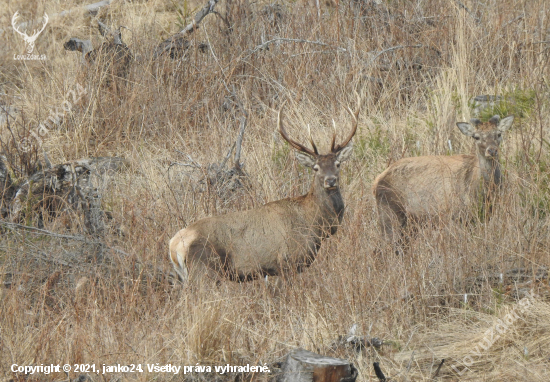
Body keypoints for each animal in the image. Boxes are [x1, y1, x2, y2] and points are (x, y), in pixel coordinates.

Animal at [168, 103, 362, 282]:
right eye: (315, 168)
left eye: (337, 164)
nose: (330, 180)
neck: (315, 226)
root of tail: (174, 245)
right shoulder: (287, 262)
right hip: (204, 271)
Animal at [374, 115, 516, 252]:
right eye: (476, 136)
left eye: (498, 134)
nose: (491, 151)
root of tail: (376, 182)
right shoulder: (456, 216)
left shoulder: (485, 216)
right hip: (389, 213)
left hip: (410, 223)